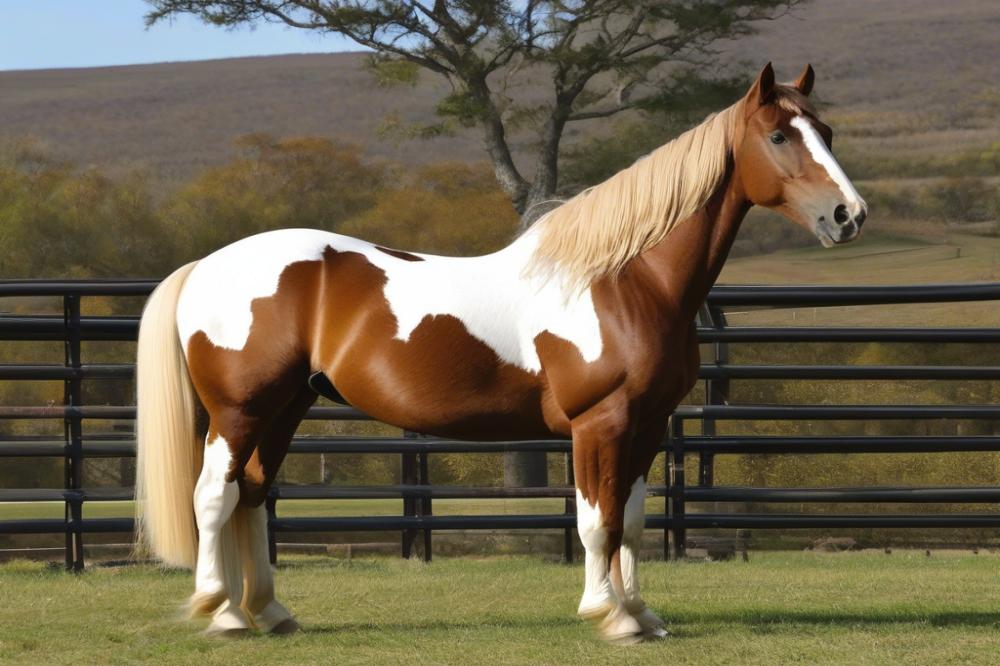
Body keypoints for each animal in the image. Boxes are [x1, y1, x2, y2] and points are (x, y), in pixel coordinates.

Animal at [133, 65, 868, 640]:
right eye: (779, 135)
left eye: (827, 133)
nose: (848, 215)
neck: (625, 281)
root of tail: (207, 265)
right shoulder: (599, 423)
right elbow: (596, 521)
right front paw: (609, 615)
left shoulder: (647, 424)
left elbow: (631, 522)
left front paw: (643, 614)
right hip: (239, 410)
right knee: (214, 497)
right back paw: (222, 613)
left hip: (284, 408)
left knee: (252, 496)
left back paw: (269, 611)